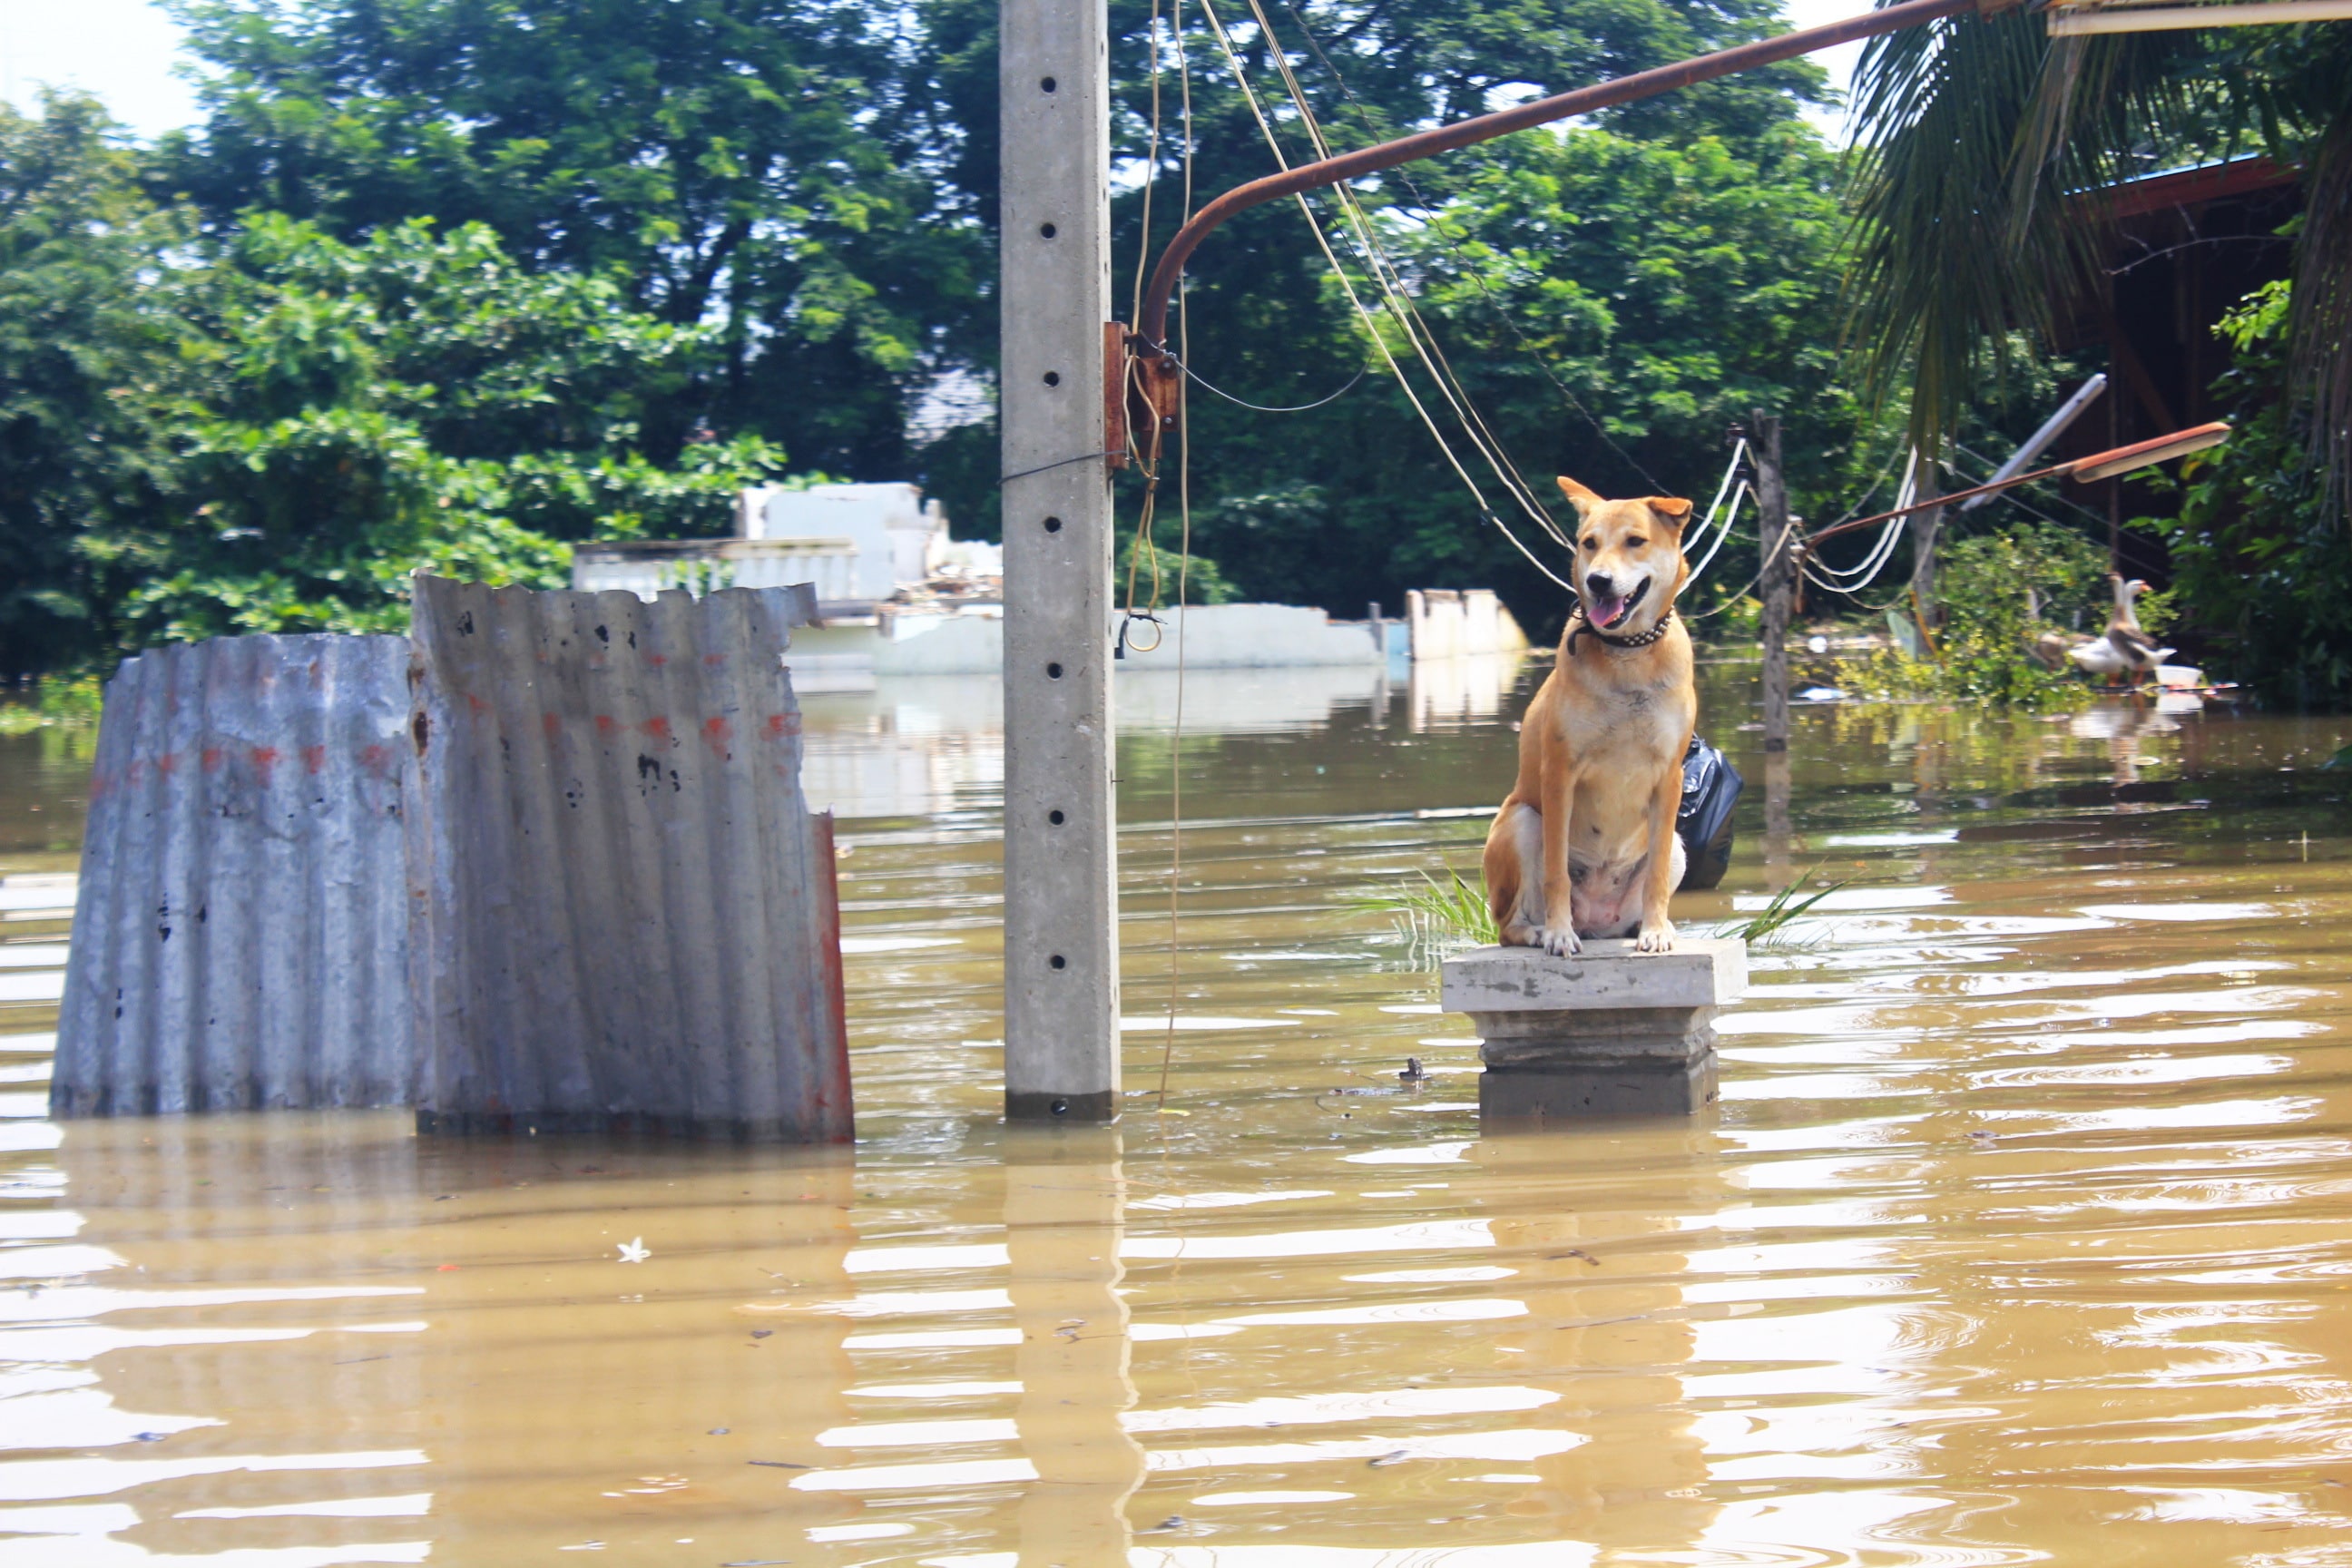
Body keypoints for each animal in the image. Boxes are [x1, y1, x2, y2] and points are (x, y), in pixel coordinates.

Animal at [1486, 479, 1693, 959]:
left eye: (1635, 541)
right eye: (1589, 543)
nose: (1599, 580)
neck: (1628, 652)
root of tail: (1597, 922)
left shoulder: (1670, 776)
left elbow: (1656, 875)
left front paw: (1656, 931)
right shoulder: (1560, 771)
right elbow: (1556, 872)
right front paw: (1559, 933)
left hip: (1679, 846)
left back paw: (1644, 926)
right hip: (1521, 821)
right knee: (1508, 925)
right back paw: (1538, 931)